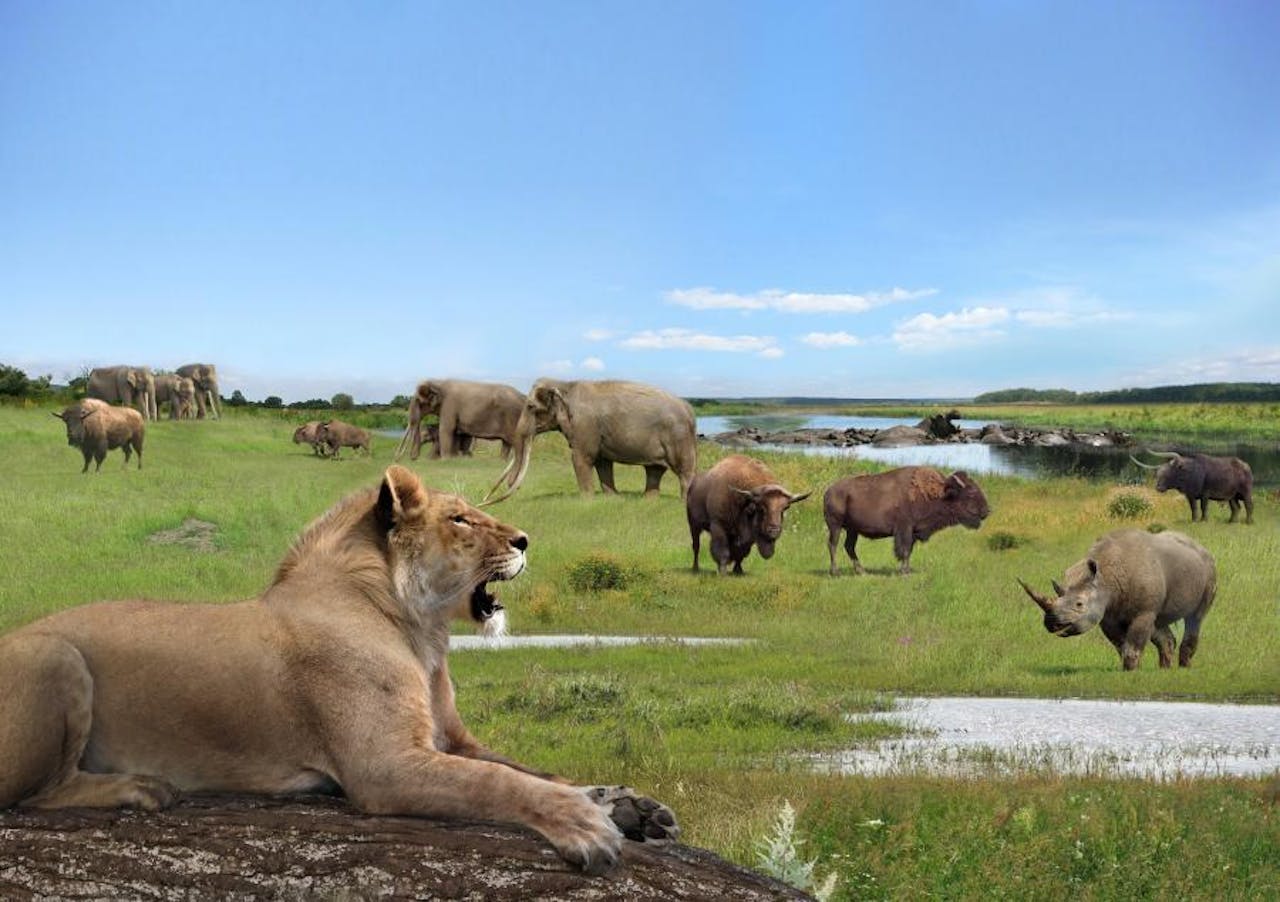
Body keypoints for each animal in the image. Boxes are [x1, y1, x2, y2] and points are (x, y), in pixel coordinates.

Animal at [0, 468, 680, 870]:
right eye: (460, 518)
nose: (525, 540)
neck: (422, 632)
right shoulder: (386, 767)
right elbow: (498, 783)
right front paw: (583, 824)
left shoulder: (452, 740)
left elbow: (533, 769)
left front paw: (629, 806)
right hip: (55, 655)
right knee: (31, 794)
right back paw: (139, 788)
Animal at [819, 465, 988, 578]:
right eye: (971, 493)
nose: (986, 511)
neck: (936, 493)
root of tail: (828, 491)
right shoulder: (904, 530)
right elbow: (904, 550)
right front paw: (904, 573)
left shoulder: (912, 532)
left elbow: (909, 551)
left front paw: (906, 570)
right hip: (836, 526)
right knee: (833, 545)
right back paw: (835, 572)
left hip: (852, 530)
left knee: (849, 547)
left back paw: (861, 571)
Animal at [1018, 527, 1218, 670]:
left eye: (1079, 604)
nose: (1051, 622)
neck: (1104, 579)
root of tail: (1201, 547)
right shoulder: (1107, 615)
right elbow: (1121, 644)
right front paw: (1128, 669)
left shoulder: (1143, 611)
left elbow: (1134, 643)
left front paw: (1131, 671)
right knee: (1159, 623)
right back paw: (1165, 670)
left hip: (1209, 569)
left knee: (1196, 617)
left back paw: (1184, 668)